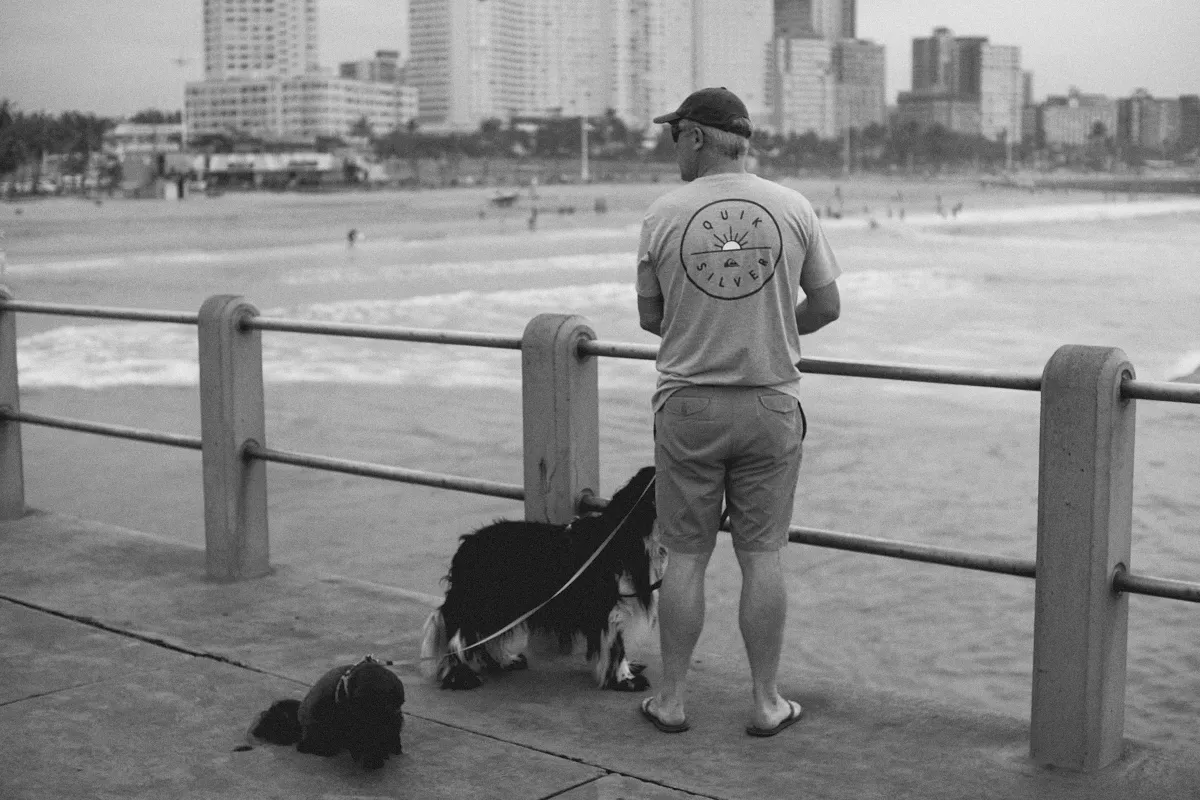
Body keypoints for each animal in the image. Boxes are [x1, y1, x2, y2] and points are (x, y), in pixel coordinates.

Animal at [420, 465, 667, 690]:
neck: (630, 533)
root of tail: (468, 544)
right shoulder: (609, 607)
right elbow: (617, 646)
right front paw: (626, 679)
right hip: (481, 602)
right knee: (458, 637)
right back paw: (460, 677)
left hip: (500, 604)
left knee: (487, 637)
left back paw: (505, 661)